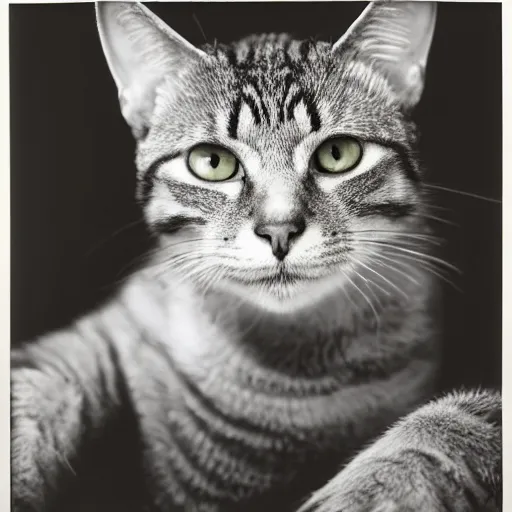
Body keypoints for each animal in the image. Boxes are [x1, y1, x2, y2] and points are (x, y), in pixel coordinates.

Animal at [11, 1, 500, 512]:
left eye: (338, 153)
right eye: (212, 162)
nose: (279, 230)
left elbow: (453, 422)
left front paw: (376, 487)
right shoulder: (90, 342)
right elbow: (30, 394)